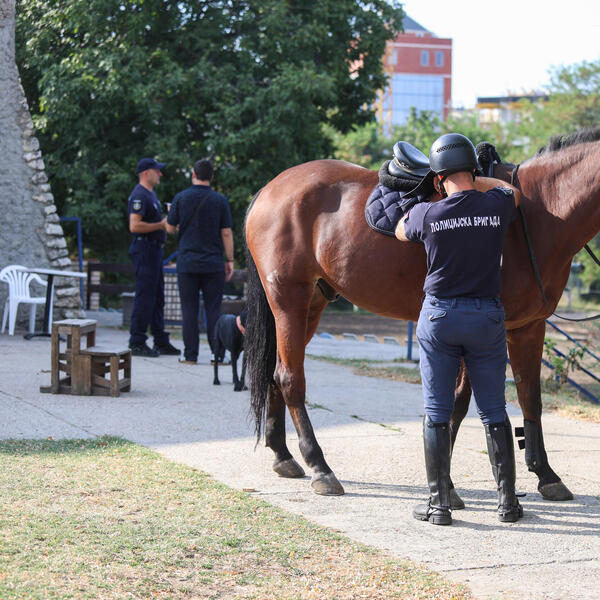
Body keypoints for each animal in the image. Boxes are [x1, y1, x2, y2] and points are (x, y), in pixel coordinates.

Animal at [244, 126, 600, 501]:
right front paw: (448, 484)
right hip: (289, 300)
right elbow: (459, 402)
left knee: (276, 372)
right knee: (290, 379)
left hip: (311, 304)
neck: (538, 211)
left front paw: (546, 475)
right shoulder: (482, 330)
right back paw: (319, 467)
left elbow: (530, 398)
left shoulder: (527, 327)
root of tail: (271, 188)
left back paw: (283, 455)